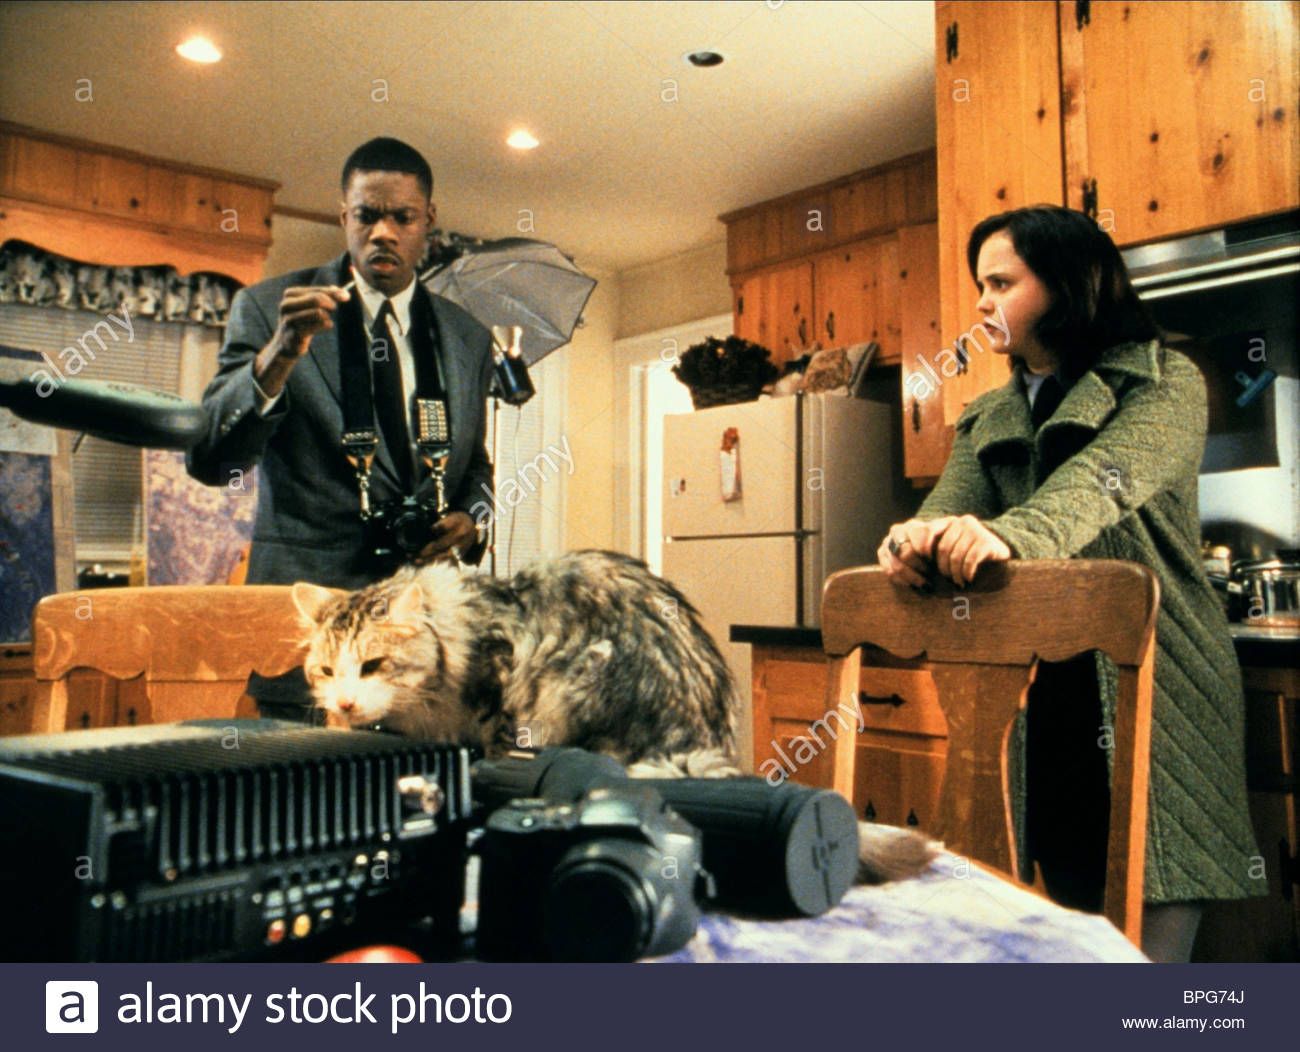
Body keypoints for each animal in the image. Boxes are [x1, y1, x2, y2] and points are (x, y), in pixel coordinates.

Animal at [292, 549, 938, 883]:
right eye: (325, 671)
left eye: (373, 665)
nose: (344, 703)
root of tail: (691, 741)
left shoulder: (499, 694)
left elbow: (490, 748)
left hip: (578, 672)